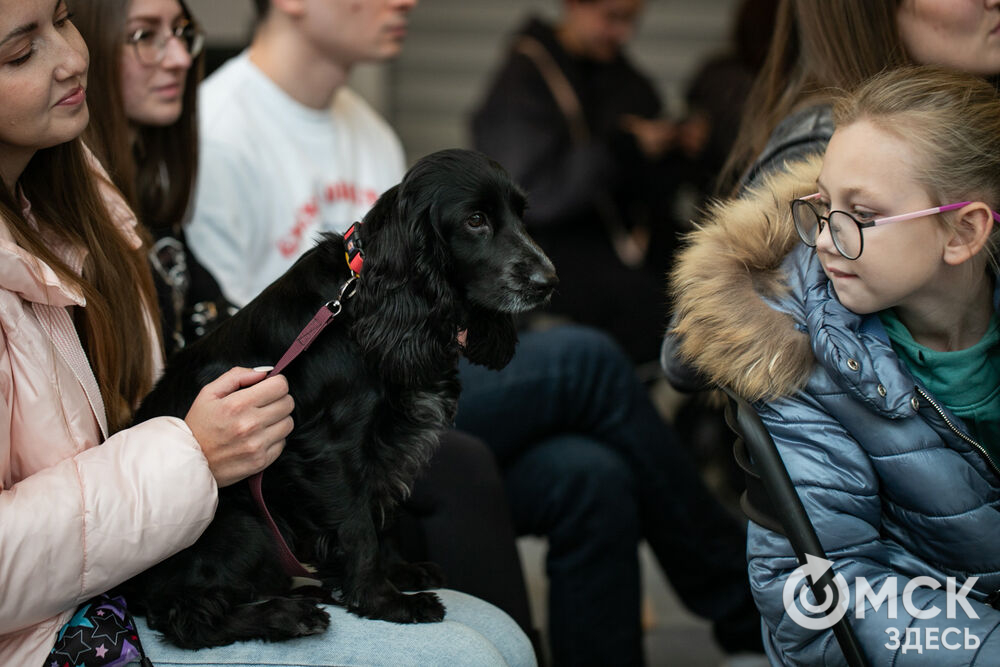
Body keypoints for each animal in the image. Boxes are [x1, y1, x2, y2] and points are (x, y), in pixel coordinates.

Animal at [123, 150, 556, 648]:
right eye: (476, 220)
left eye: (521, 215)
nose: (549, 281)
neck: (364, 301)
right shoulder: (333, 450)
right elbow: (358, 527)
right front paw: (384, 601)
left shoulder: (382, 451)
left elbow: (380, 517)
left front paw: (399, 572)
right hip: (246, 525)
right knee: (185, 616)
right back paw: (289, 615)